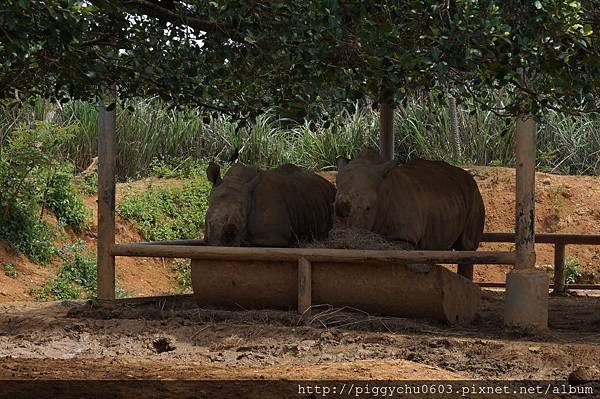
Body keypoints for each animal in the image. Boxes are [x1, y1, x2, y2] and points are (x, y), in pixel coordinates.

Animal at [336, 148, 486, 276]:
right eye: (333, 205)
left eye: (368, 208)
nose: (347, 239)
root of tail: (468, 175)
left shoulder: (404, 237)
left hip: (474, 195)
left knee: (467, 247)